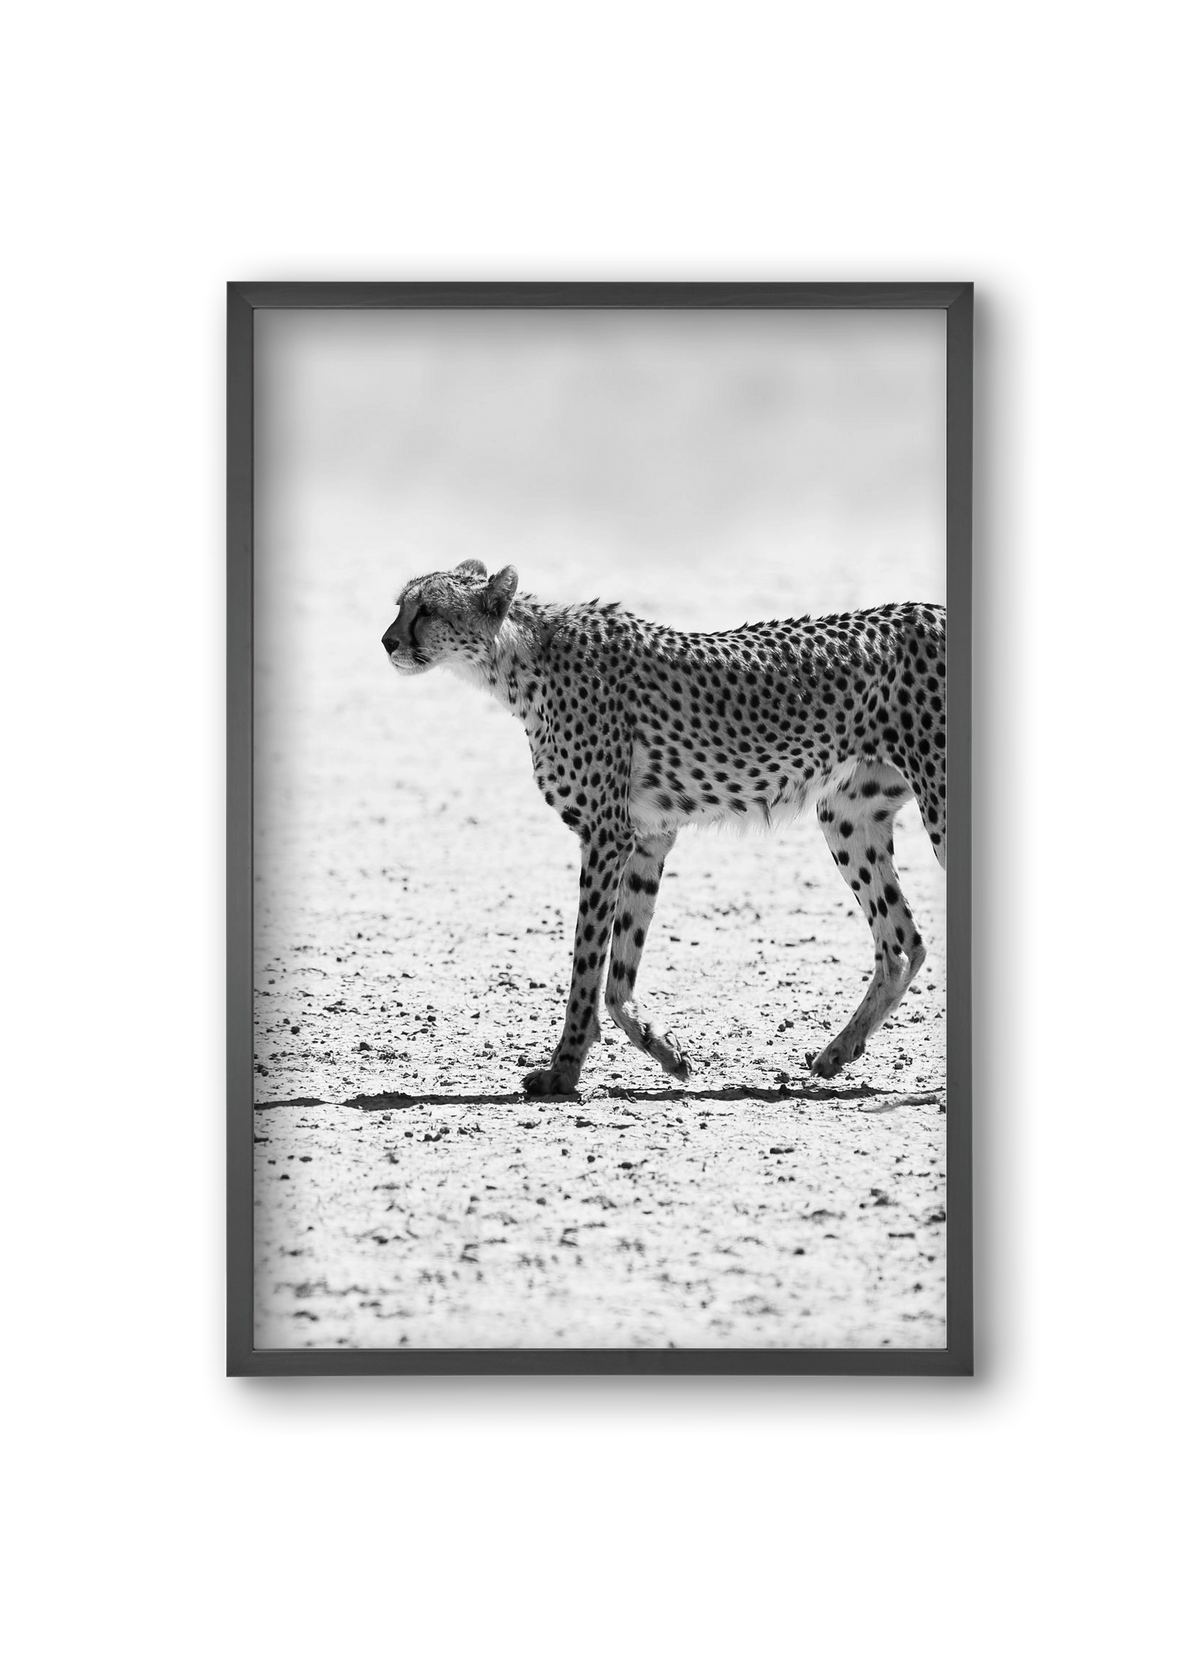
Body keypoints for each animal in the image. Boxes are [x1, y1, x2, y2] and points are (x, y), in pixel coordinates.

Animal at [383, 559, 945, 1097]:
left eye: (427, 609)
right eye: (400, 605)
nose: (387, 641)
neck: (519, 660)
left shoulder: (606, 835)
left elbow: (587, 964)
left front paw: (563, 1071)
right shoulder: (648, 837)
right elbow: (618, 973)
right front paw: (666, 1051)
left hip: (935, 805)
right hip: (847, 816)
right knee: (902, 942)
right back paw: (838, 1052)